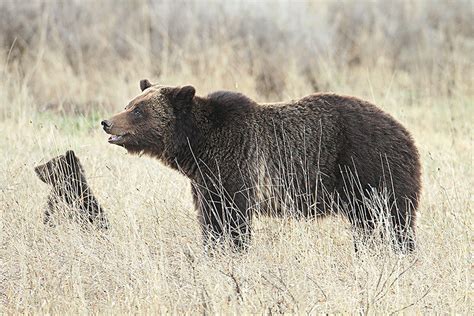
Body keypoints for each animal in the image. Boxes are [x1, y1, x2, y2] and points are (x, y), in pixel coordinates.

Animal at [102, 80, 420, 253]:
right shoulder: (207, 182)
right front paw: (213, 251)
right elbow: (211, 221)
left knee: (395, 221)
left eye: (138, 110)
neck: (198, 146)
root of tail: (404, 131)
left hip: (371, 169)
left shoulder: (238, 166)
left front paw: (236, 251)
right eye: (130, 103)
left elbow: (235, 220)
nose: (106, 121)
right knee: (368, 226)